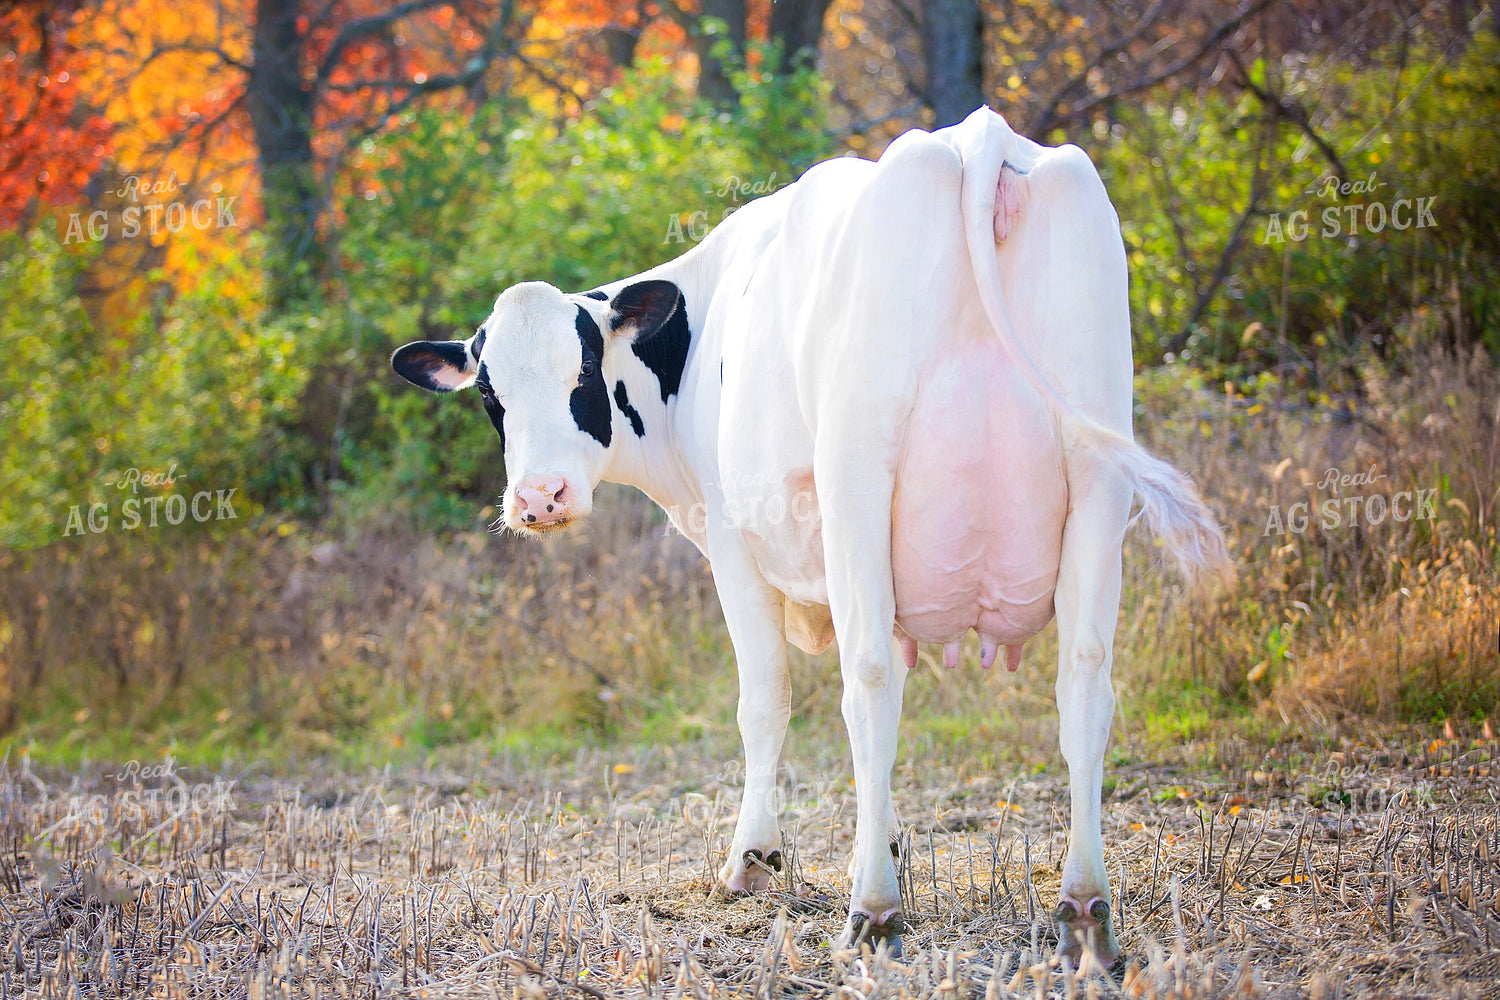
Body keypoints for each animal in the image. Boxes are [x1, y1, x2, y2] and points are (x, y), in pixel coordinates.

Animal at [391, 107, 1232, 964]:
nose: (539, 497)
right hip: (1097, 471)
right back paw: (1085, 908)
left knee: (867, 683)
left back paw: (874, 912)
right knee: (1084, 682)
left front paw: (755, 860)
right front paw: (882, 841)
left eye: (585, 374)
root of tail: (975, 136)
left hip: (859, 472)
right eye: (490, 394)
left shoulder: (732, 540)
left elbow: (765, 699)